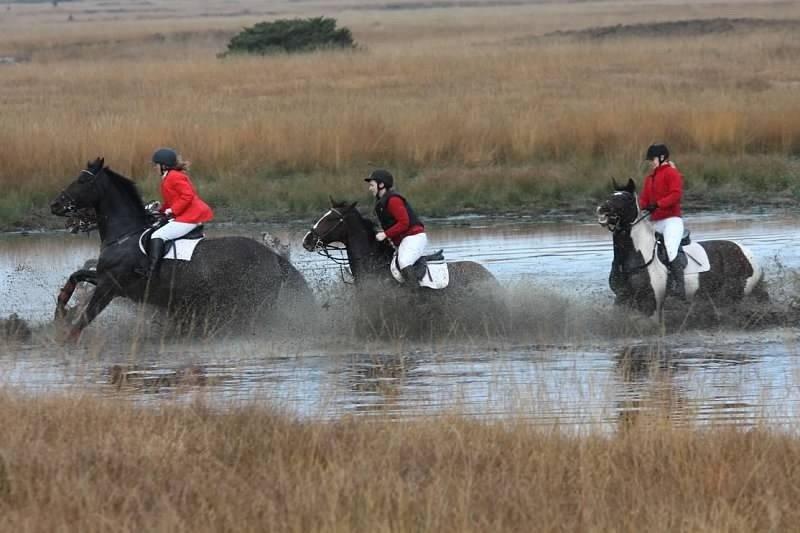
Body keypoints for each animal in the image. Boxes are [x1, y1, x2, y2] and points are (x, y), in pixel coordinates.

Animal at [49, 156, 312, 338]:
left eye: (82, 180)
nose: (55, 205)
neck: (123, 236)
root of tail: (274, 258)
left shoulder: (109, 286)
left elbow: (85, 318)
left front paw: (64, 341)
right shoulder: (104, 278)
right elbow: (76, 276)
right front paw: (60, 312)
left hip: (253, 302)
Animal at [596, 178, 764, 320]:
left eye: (626, 199)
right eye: (610, 195)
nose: (602, 209)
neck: (637, 256)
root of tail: (748, 254)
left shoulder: (650, 303)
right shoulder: (622, 298)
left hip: (732, 294)